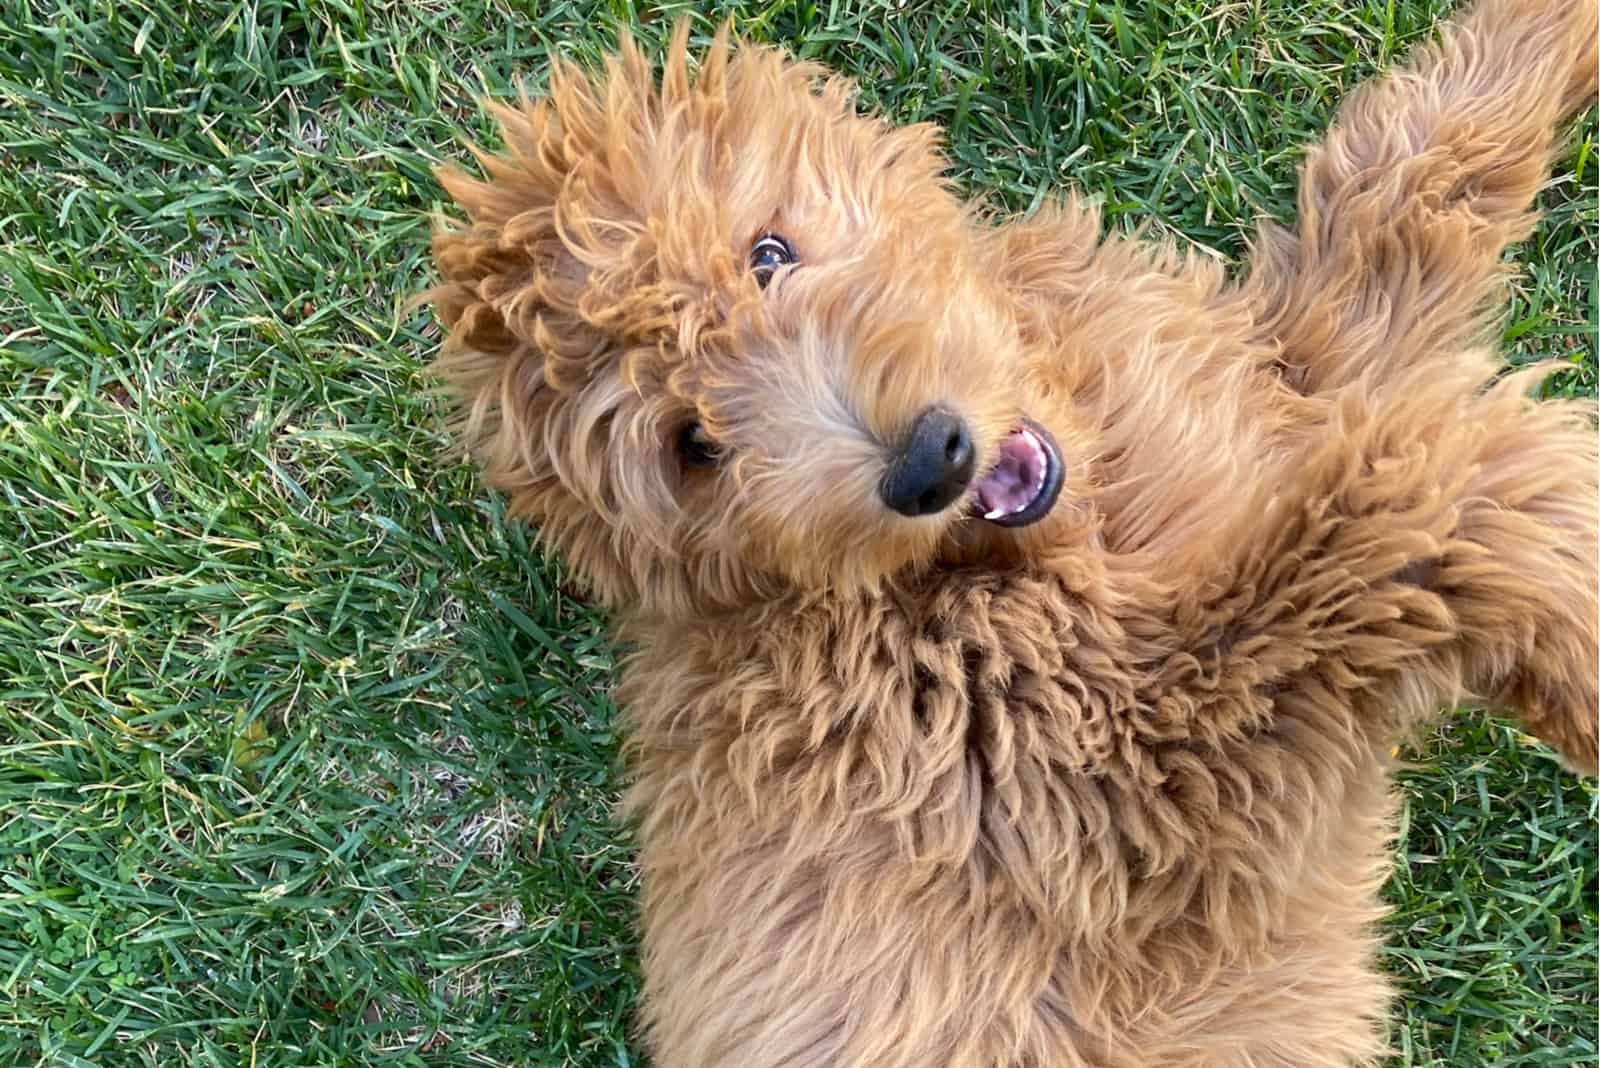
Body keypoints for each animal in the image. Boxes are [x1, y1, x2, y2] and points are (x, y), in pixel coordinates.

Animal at [425, 4, 1600, 1061]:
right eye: (693, 446)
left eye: (766, 254)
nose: (926, 461)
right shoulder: (1112, 776)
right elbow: (1393, 532)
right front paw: (1572, 627)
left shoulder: (1276, 375)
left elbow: (1407, 185)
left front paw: (1544, 32)